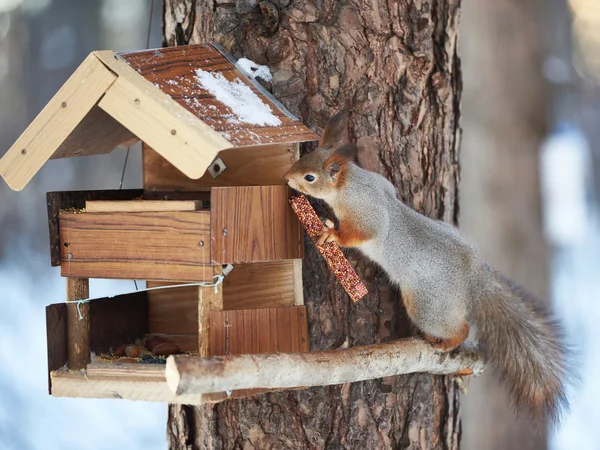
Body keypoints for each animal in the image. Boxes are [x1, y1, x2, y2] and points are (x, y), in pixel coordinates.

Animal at [284, 107, 568, 424]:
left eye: (309, 177)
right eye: (302, 159)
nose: (286, 177)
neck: (351, 185)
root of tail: (474, 279)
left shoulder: (368, 215)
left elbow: (362, 234)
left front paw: (330, 233)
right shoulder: (383, 184)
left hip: (427, 305)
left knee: (462, 328)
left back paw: (445, 341)